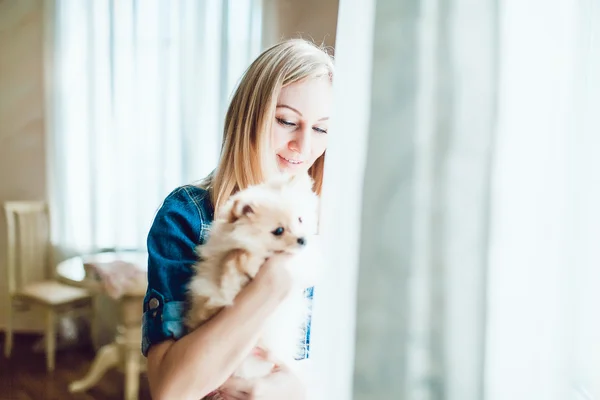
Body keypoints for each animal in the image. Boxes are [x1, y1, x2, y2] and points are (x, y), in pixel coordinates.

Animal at [185, 173, 322, 388]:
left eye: (300, 220)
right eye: (279, 230)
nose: (302, 240)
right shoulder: (211, 296)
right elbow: (233, 264)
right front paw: (245, 261)